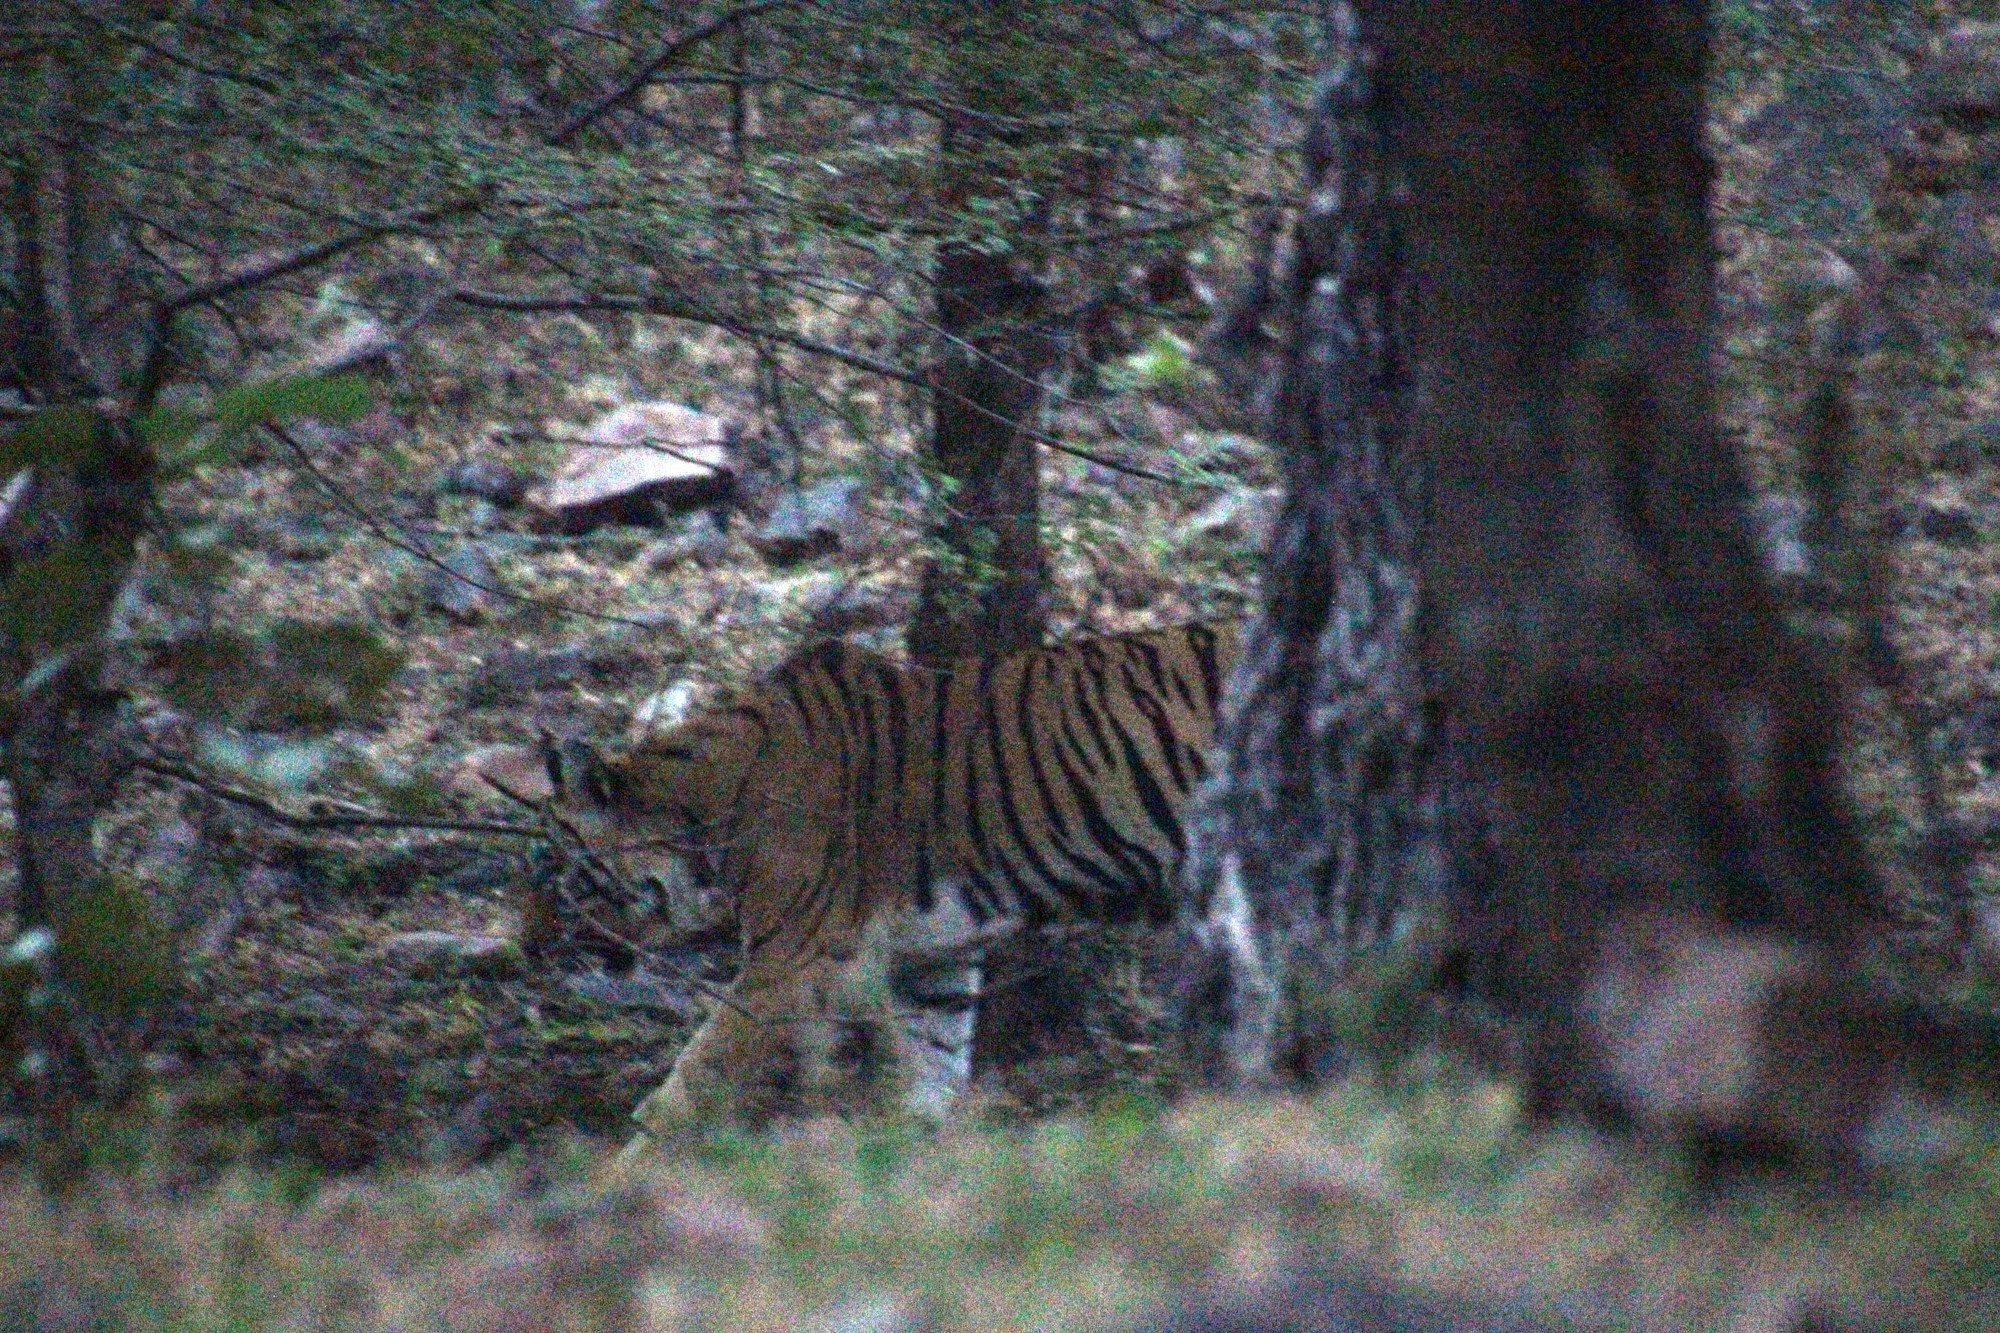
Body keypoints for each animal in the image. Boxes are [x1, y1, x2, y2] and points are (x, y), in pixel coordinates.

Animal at [548, 616, 1232, 1136]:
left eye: (567, 881)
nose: (535, 951)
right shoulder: (933, 964)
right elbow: (929, 1076)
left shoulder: (793, 962)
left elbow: (691, 1080)